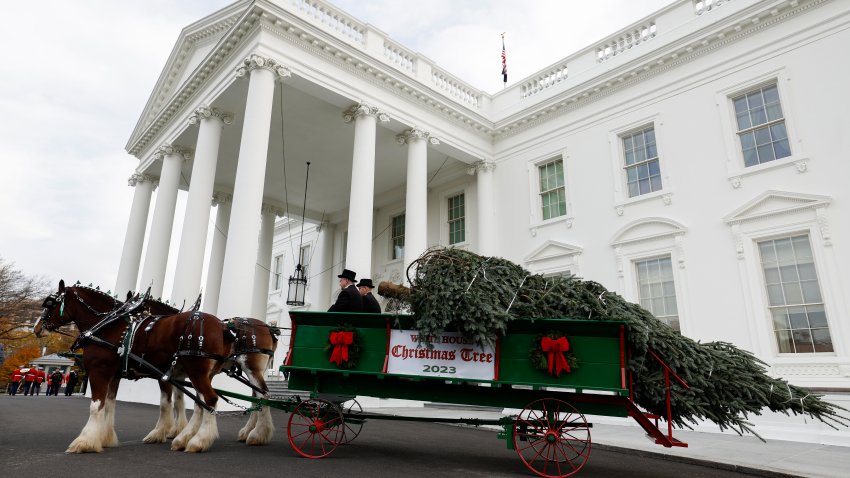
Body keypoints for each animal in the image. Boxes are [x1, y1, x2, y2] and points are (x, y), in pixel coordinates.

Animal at [34, 282, 232, 454]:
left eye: (50, 303)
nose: (36, 328)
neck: (109, 326)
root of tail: (222, 326)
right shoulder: (115, 375)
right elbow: (110, 404)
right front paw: (106, 438)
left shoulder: (100, 371)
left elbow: (96, 406)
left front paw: (85, 441)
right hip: (203, 374)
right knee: (201, 402)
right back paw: (187, 438)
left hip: (196, 371)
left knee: (210, 399)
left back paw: (199, 440)